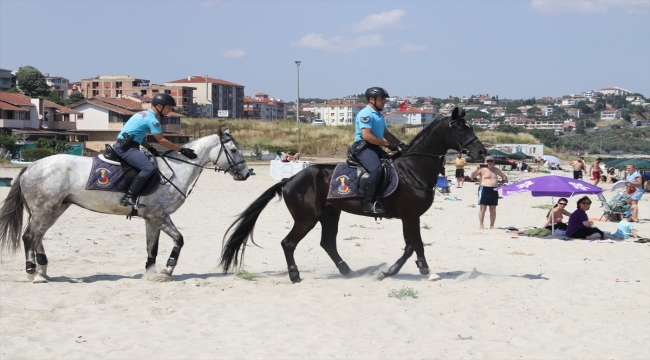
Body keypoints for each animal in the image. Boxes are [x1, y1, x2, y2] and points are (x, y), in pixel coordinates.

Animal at [0, 129, 248, 284]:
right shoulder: (159, 216)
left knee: (38, 236)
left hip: (53, 209)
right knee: (29, 237)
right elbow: (179, 240)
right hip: (45, 209)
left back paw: (43, 270)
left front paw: (150, 274)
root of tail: (31, 166)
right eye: (234, 151)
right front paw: (167, 270)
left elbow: (152, 248)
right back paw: (33, 273)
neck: (175, 169)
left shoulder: (151, 218)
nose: (246, 173)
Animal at [220, 107, 484, 282]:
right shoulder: (410, 216)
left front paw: (405, 270)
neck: (412, 169)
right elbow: (415, 244)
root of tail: (290, 180)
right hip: (307, 218)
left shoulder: (409, 217)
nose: (481, 151)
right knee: (289, 243)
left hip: (330, 215)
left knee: (327, 243)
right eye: (459, 128)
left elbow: (411, 246)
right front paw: (421, 271)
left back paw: (346, 270)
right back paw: (295, 275)